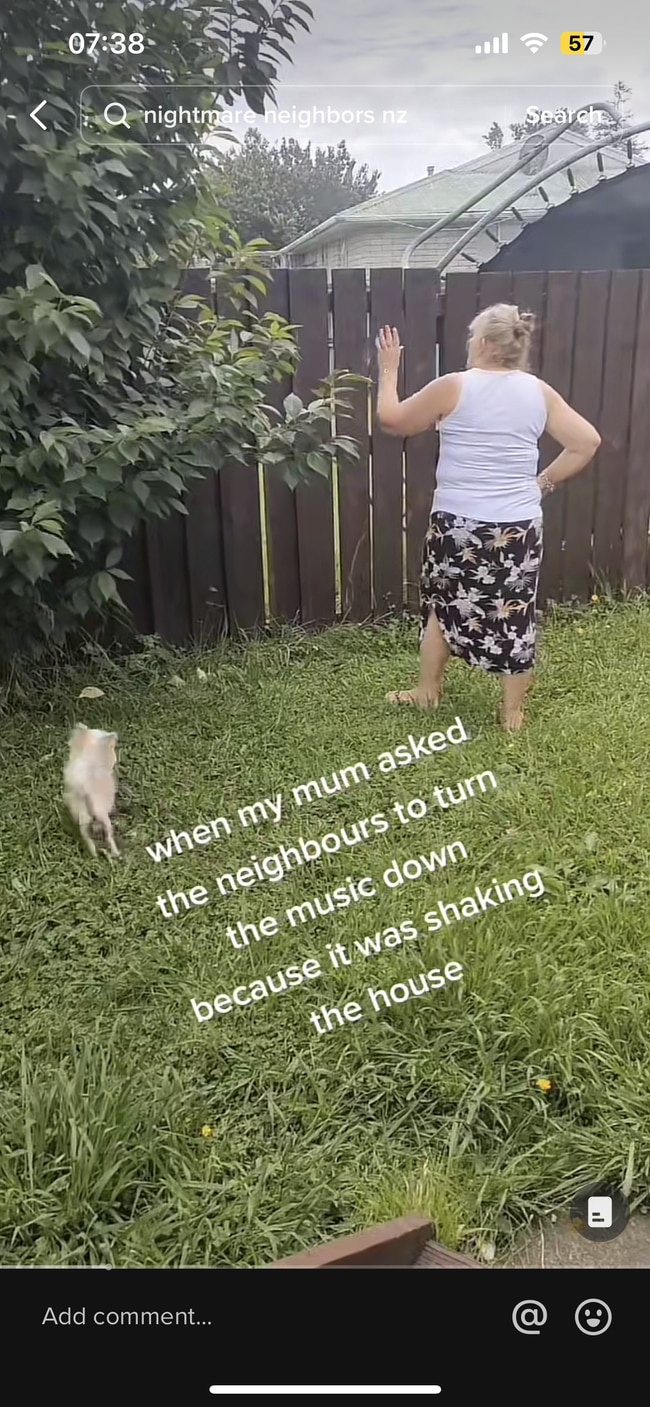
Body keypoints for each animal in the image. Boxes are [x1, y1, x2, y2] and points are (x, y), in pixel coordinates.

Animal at [63, 726, 120, 855]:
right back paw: (116, 854)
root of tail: (85, 792)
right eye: (112, 748)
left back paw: (94, 855)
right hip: (102, 815)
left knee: (86, 836)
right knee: (109, 834)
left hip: (82, 816)